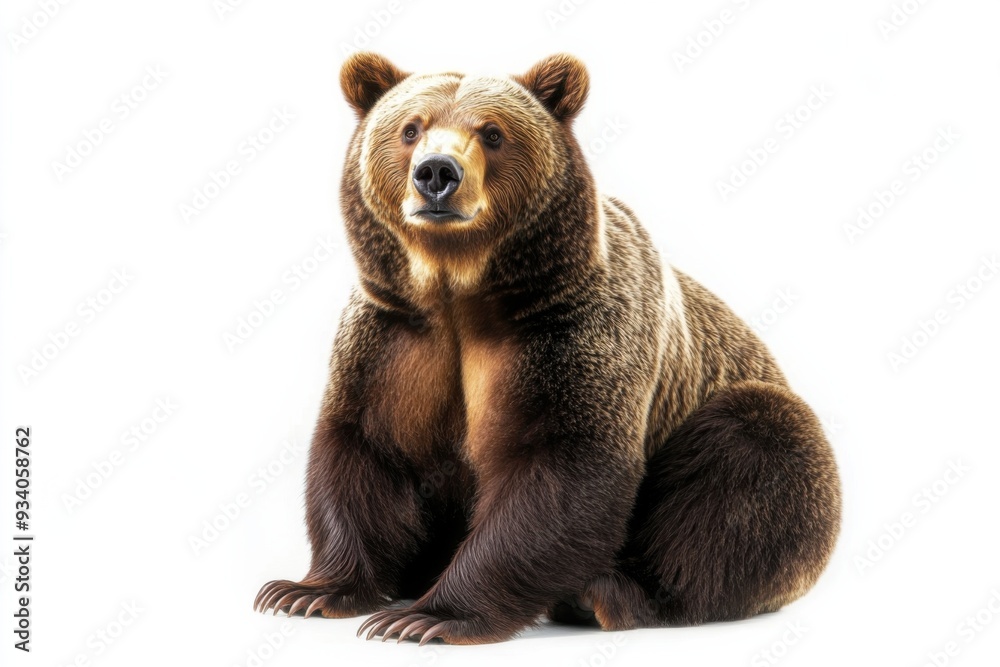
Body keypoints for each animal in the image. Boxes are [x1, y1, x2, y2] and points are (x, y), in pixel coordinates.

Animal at [254, 52, 842, 645]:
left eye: (492, 133)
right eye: (410, 128)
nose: (437, 174)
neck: (459, 292)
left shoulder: (569, 335)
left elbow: (561, 466)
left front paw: (427, 616)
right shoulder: (394, 339)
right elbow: (366, 447)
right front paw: (306, 591)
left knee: (753, 451)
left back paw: (610, 595)